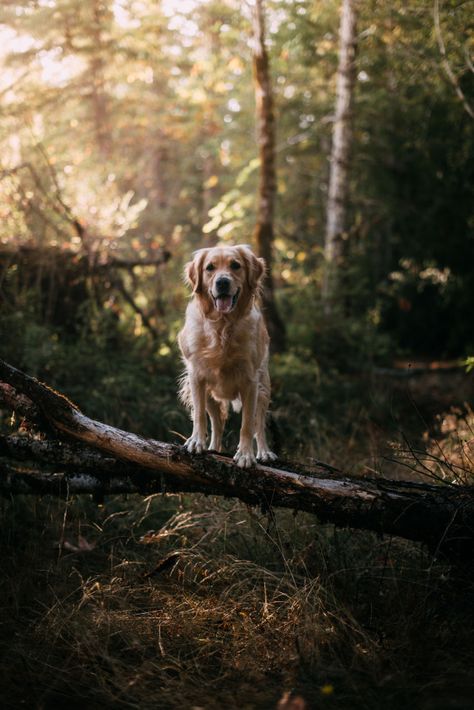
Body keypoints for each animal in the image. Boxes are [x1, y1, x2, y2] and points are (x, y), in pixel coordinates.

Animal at [178, 242, 276, 470]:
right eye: (209, 268)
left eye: (235, 265)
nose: (222, 282)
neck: (222, 325)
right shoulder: (196, 376)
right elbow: (199, 415)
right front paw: (196, 442)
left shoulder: (250, 381)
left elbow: (247, 424)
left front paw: (246, 455)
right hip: (210, 394)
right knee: (217, 422)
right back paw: (213, 447)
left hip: (264, 387)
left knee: (259, 424)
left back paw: (264, 452)